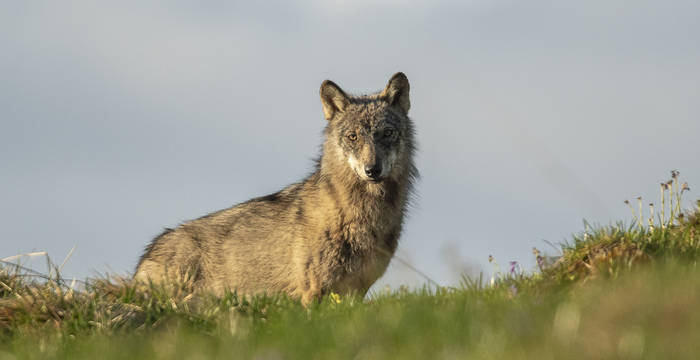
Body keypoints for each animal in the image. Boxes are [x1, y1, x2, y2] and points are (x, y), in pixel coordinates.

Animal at [136, 72, 418, 304]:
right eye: (353, 137)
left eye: (387, 133)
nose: (372, 170)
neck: (361, 217)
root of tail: (146, 256)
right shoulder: (313, 291)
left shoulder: (356, 291)